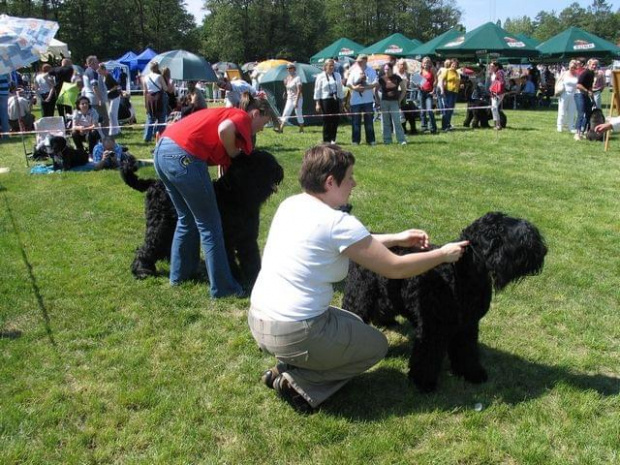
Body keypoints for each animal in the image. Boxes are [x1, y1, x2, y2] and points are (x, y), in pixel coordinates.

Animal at [120, 150, 284, 288]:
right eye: (261, 162)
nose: (279, 171)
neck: (236, 195)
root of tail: (153, 183)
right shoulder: (226, 239)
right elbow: (229, 259)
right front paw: (235, 277)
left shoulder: (247, 238)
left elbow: (251, 257)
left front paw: (255, 276)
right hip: (160, 225)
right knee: (147, 246)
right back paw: (142, 270)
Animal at [342, 211, 544, 392]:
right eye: (512, 235)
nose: (541, 249)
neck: (464, 273)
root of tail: (371, 235)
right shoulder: (433, 327)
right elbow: (428, 355)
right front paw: (423, 382)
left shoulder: (468, 325)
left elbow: (467, 350)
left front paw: (472, 373)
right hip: (360, 294)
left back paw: (387, 321)